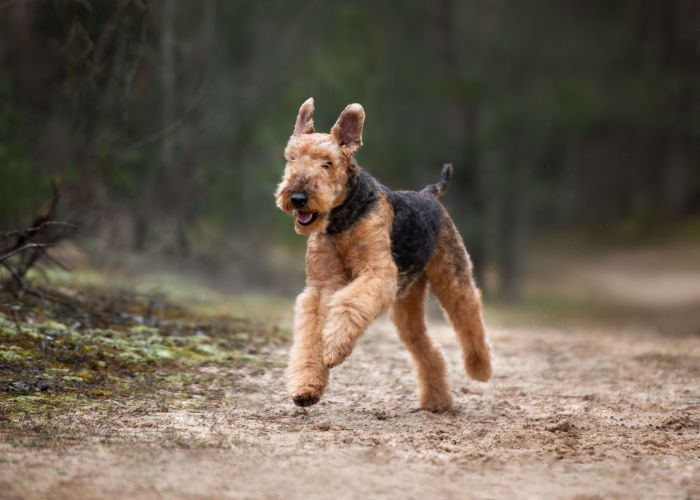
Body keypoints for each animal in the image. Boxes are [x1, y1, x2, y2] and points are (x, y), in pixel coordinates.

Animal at [274, 98, 492, 414]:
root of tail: (429, 194)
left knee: (469, 313)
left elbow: (348, 305)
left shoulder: (377, 273)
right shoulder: (320, 288)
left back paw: (480, 368)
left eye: (327, 163)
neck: (344, 219)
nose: (298, 197)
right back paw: (437, 401)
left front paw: (334, 348)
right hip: (406, 303)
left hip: (452, 275)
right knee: (427, 348)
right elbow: (311, 332)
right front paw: (306, 389)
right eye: (291, 158)